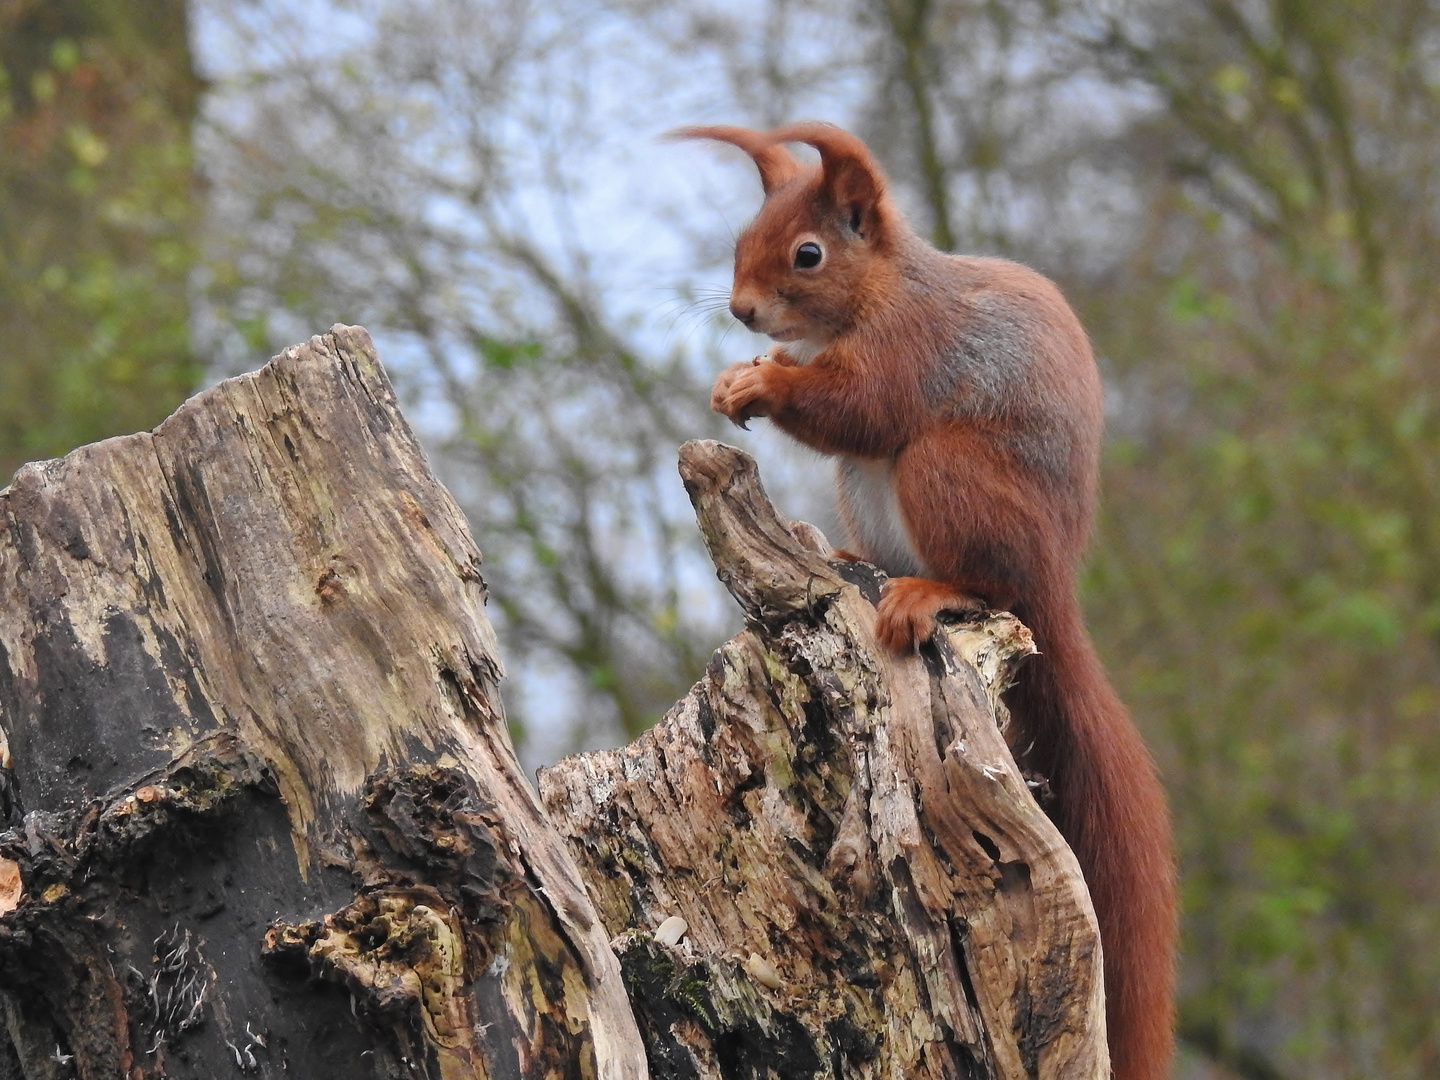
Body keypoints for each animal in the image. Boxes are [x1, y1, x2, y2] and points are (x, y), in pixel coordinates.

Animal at [679, 122, 1175, 1080]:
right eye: (741, 241)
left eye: (807, 253)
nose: (743, 312)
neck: (876, 294)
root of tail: (1054, 586)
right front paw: (739, 375)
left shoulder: (912, 347)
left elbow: (860, 405)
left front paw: (761, 384)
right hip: (866, 491)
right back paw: (845, 556)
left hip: (948, 473)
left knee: (983, 575)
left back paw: (930, 591)